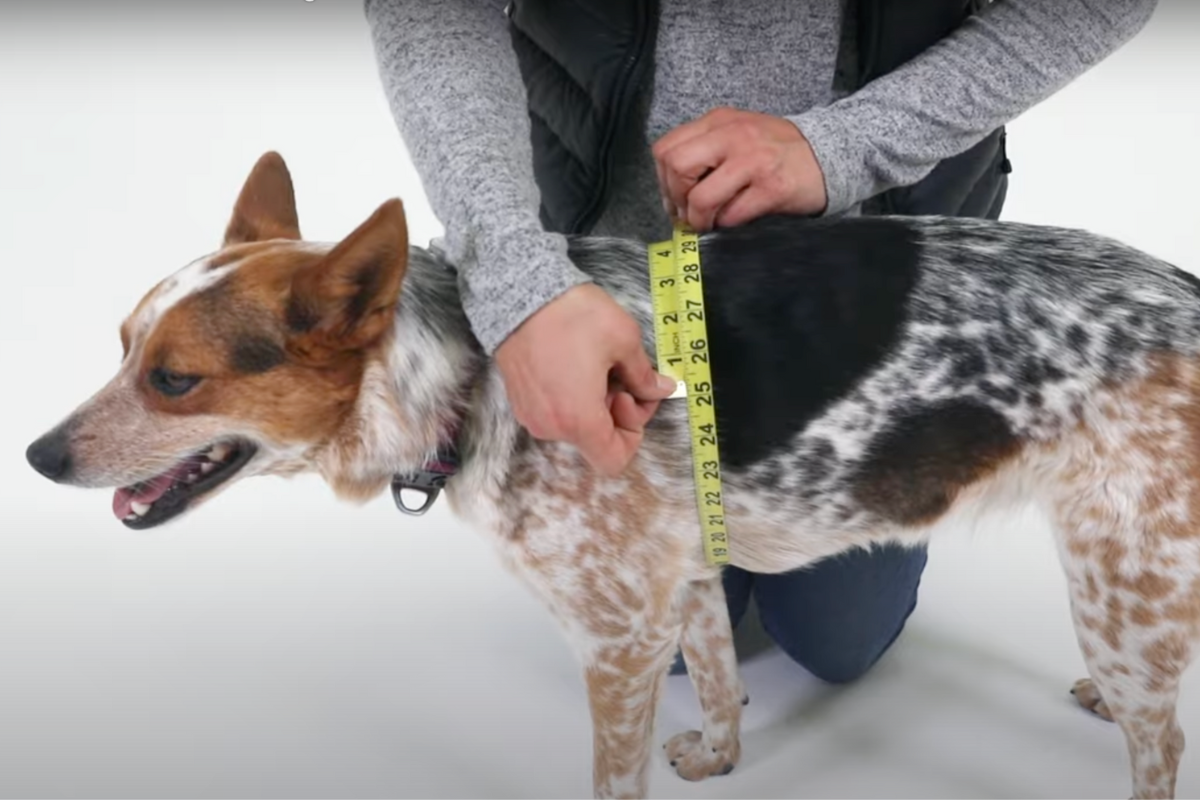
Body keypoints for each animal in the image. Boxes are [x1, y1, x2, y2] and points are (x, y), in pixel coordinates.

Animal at [23, 151, 1200, 800]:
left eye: (175, 379)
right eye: (119, 345)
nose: (36, 455)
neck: (470, 369)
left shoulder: (616, 636)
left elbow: (610, 773)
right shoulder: (679, 581)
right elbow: (720, 676)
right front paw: (723, 758)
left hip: (1118, 571)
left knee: (1165, 740)